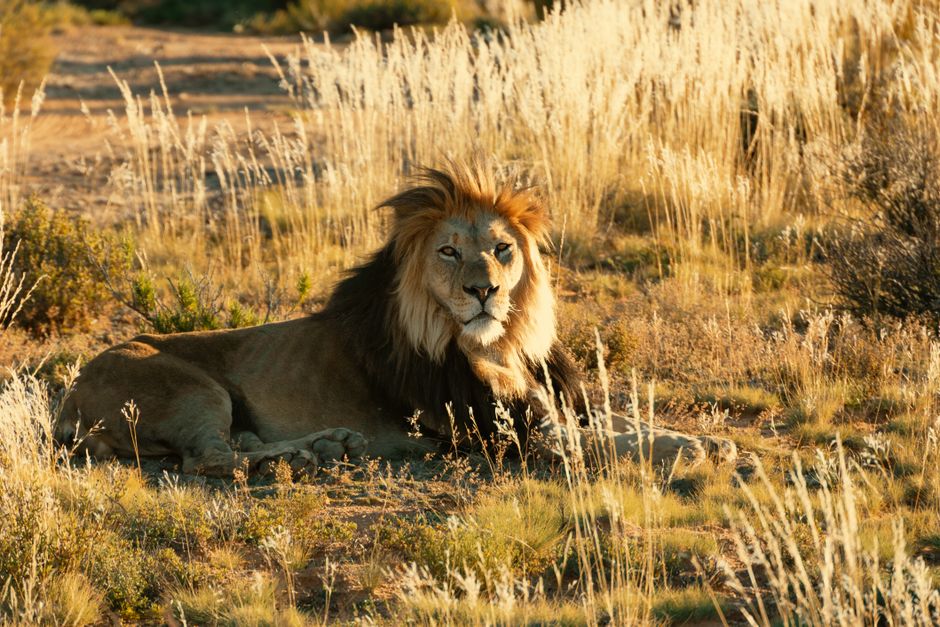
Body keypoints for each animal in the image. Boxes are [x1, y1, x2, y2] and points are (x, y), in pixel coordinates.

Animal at [57, 161, 734, 475]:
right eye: (449, 252)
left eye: (502, 248)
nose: (485, 291)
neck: (499, 344)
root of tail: (67, 394)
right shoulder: (506, 432)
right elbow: (606, 442)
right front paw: (692, 451)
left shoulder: (549, 404)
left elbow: (622, 422)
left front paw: (705, 440)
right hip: (193, 388)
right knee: (208, 459)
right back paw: (305, 456)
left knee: (229, 448)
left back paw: (327, 445)